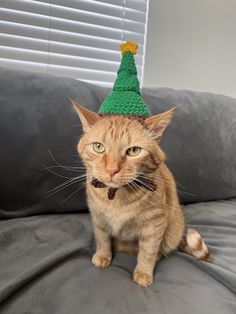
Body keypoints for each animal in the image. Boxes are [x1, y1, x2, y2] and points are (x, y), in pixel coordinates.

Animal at [73, 103, 210, 288]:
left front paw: (144, 273)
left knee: (159, 249)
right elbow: (102, 239)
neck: (117, 197)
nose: (112, 170)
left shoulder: (155, 224)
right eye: (98, 147)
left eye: (134, 151)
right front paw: (103, 255)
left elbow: (148, 251)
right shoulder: (98, 218)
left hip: (172, 232)